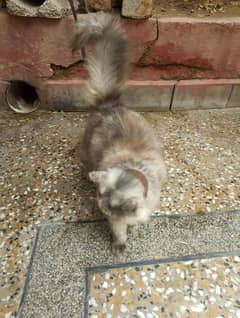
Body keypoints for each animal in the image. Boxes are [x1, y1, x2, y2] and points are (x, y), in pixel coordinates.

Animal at [73, 12, 167, 253]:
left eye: (107, 207)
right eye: (100, 199)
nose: (101, 209)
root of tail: (109, 105)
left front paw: (132, 228)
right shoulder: (117, 221)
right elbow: (119, 231)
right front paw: (120, 243)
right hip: (88, 151)